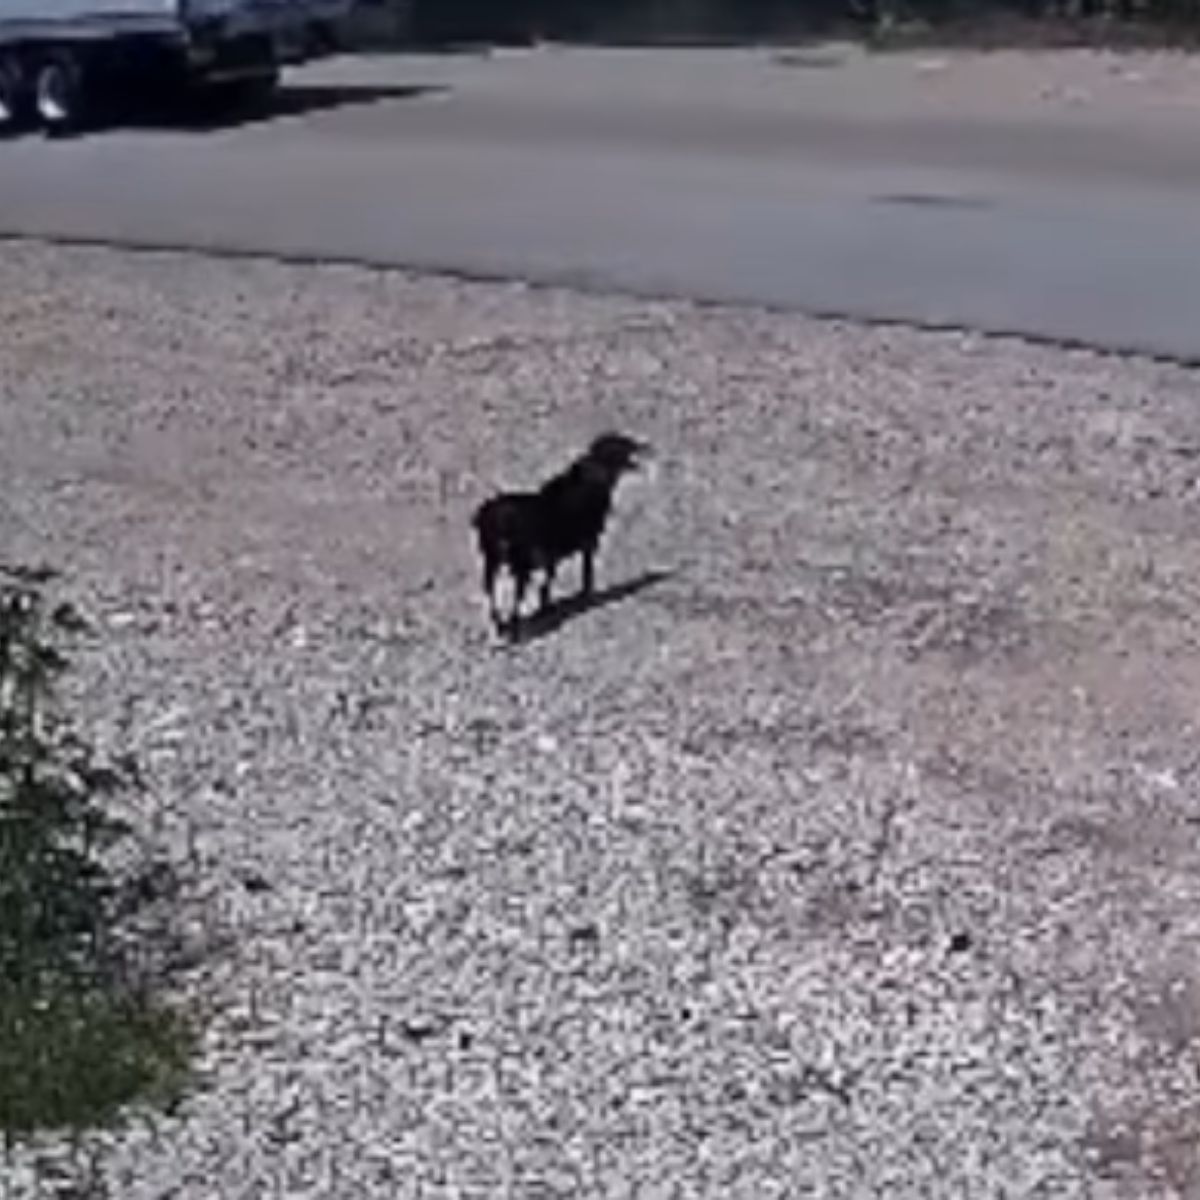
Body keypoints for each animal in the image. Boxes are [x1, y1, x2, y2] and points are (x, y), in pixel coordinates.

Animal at [472, 434, 652, 638]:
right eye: (621, 445)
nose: (644, 446)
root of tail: (490, 520)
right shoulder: (588, 542)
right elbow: (584, 573)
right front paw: (583, 596)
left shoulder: (552, 556)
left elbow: (548, 581)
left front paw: (545, 607)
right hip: (519, 564)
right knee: (514, 596)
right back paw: (514, 626)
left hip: (493, 560)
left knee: (490, 590)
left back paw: (502, 624)